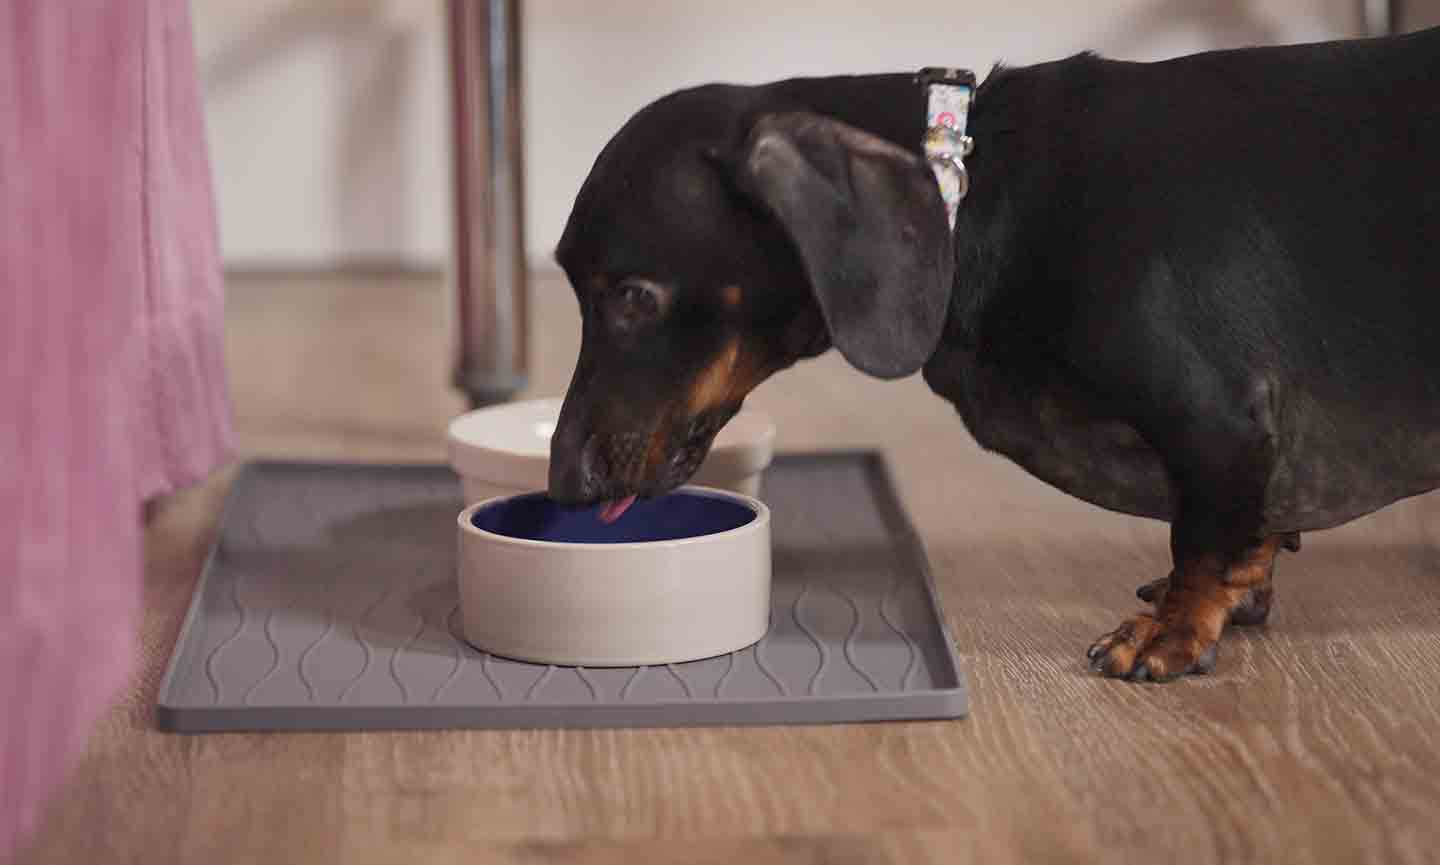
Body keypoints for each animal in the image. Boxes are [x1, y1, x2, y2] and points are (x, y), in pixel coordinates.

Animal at [547, 27, 1440, 682]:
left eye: (634, 297)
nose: (561, 485)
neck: (980, 192)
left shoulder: (1214, 416)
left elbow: (1202, 535)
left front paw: (1173, 628)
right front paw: (1240, 585)